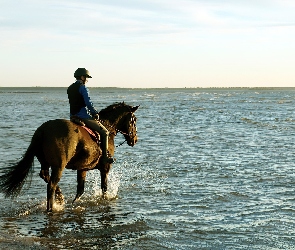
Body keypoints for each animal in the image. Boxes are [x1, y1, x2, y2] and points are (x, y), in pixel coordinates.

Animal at [0, 101, 139, 211]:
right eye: (135, 120)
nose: (135, 140)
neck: (108, 128)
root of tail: (43, 129)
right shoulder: (105, 168)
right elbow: (104, 188)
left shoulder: (82, 168)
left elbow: (80, 190)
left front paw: (74, 203)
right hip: (59, 166)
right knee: (51, 184)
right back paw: (51, 208)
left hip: (45, 163)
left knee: (45, 176)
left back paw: (60, 198)